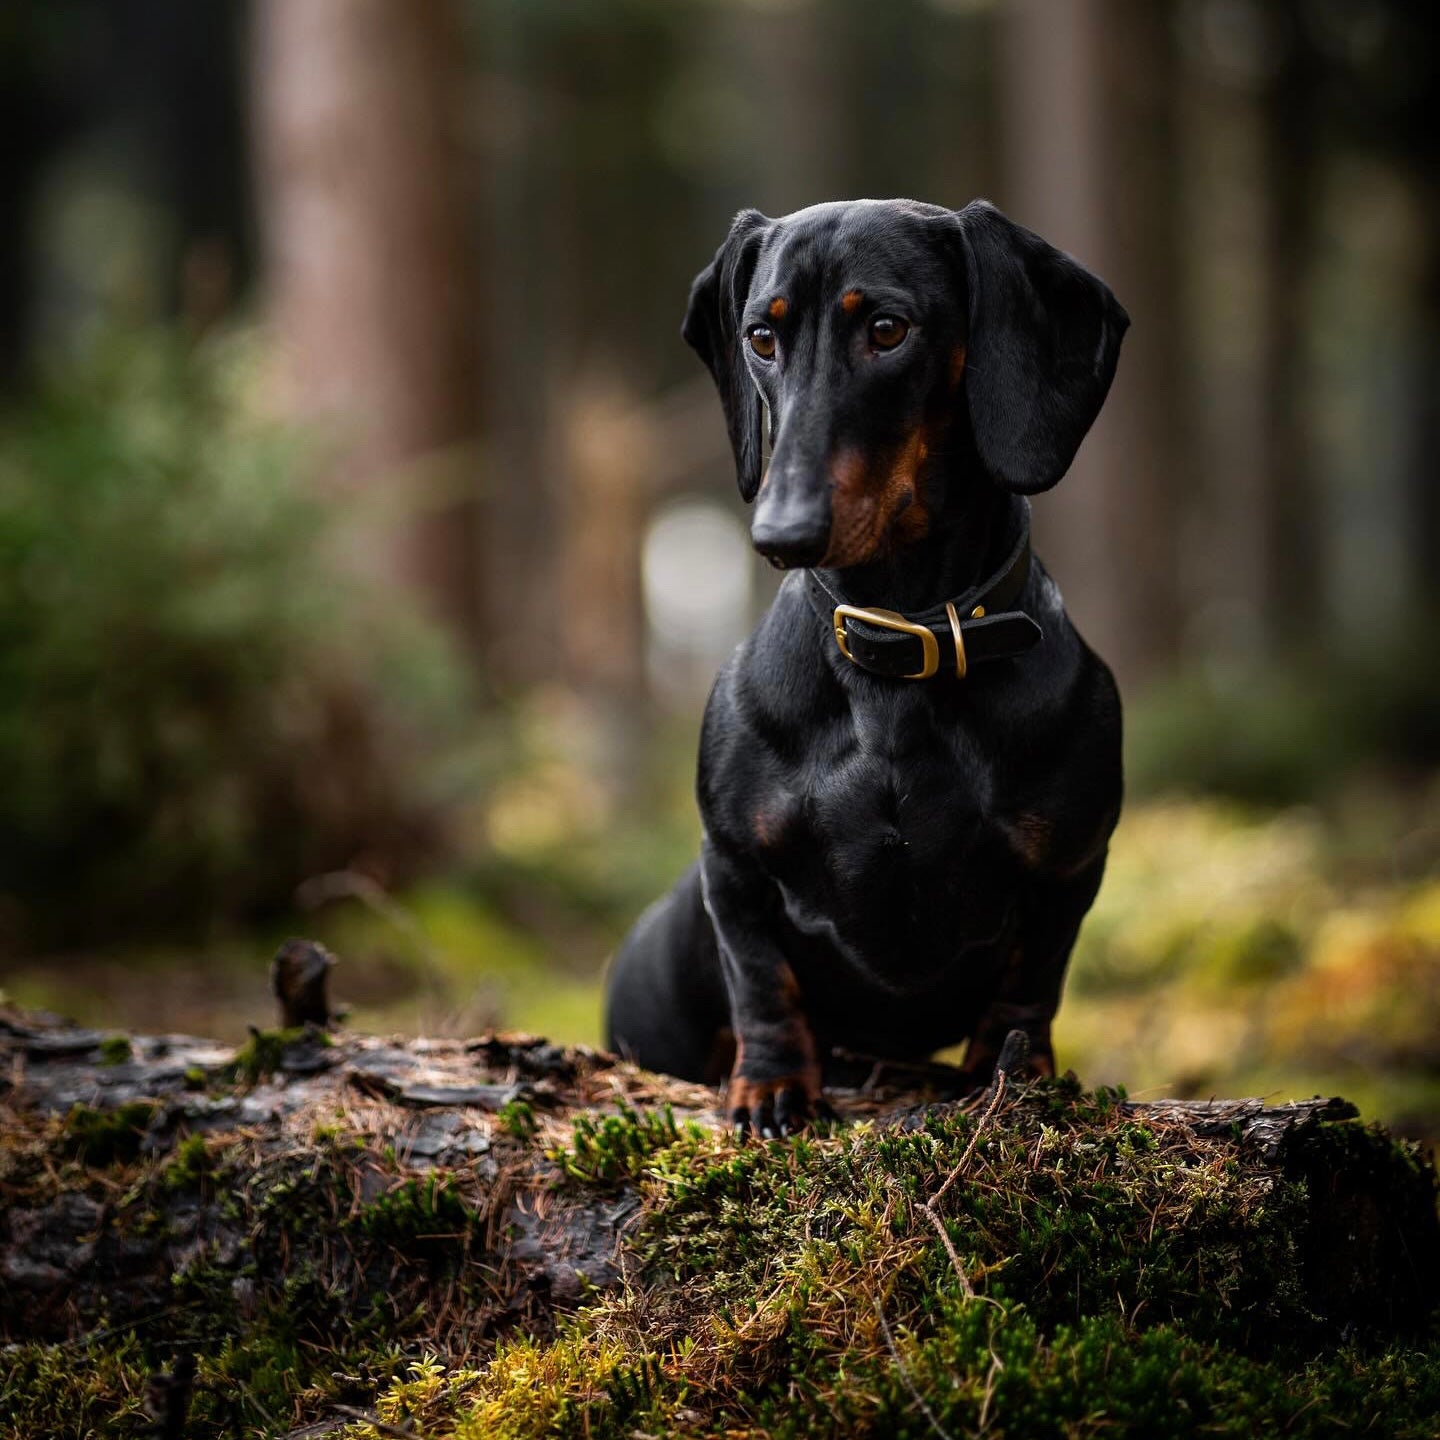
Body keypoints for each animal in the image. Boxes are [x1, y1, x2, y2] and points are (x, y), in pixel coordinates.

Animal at [601, 197, 1128, 1134]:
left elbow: (1032, 983)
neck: (901, 648)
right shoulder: (733, 864)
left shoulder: (1071, 866)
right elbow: (761, 979)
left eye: (887, 330)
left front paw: (1013, 1077)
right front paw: (772, 1087)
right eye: (760, 337)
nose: (779, 534)